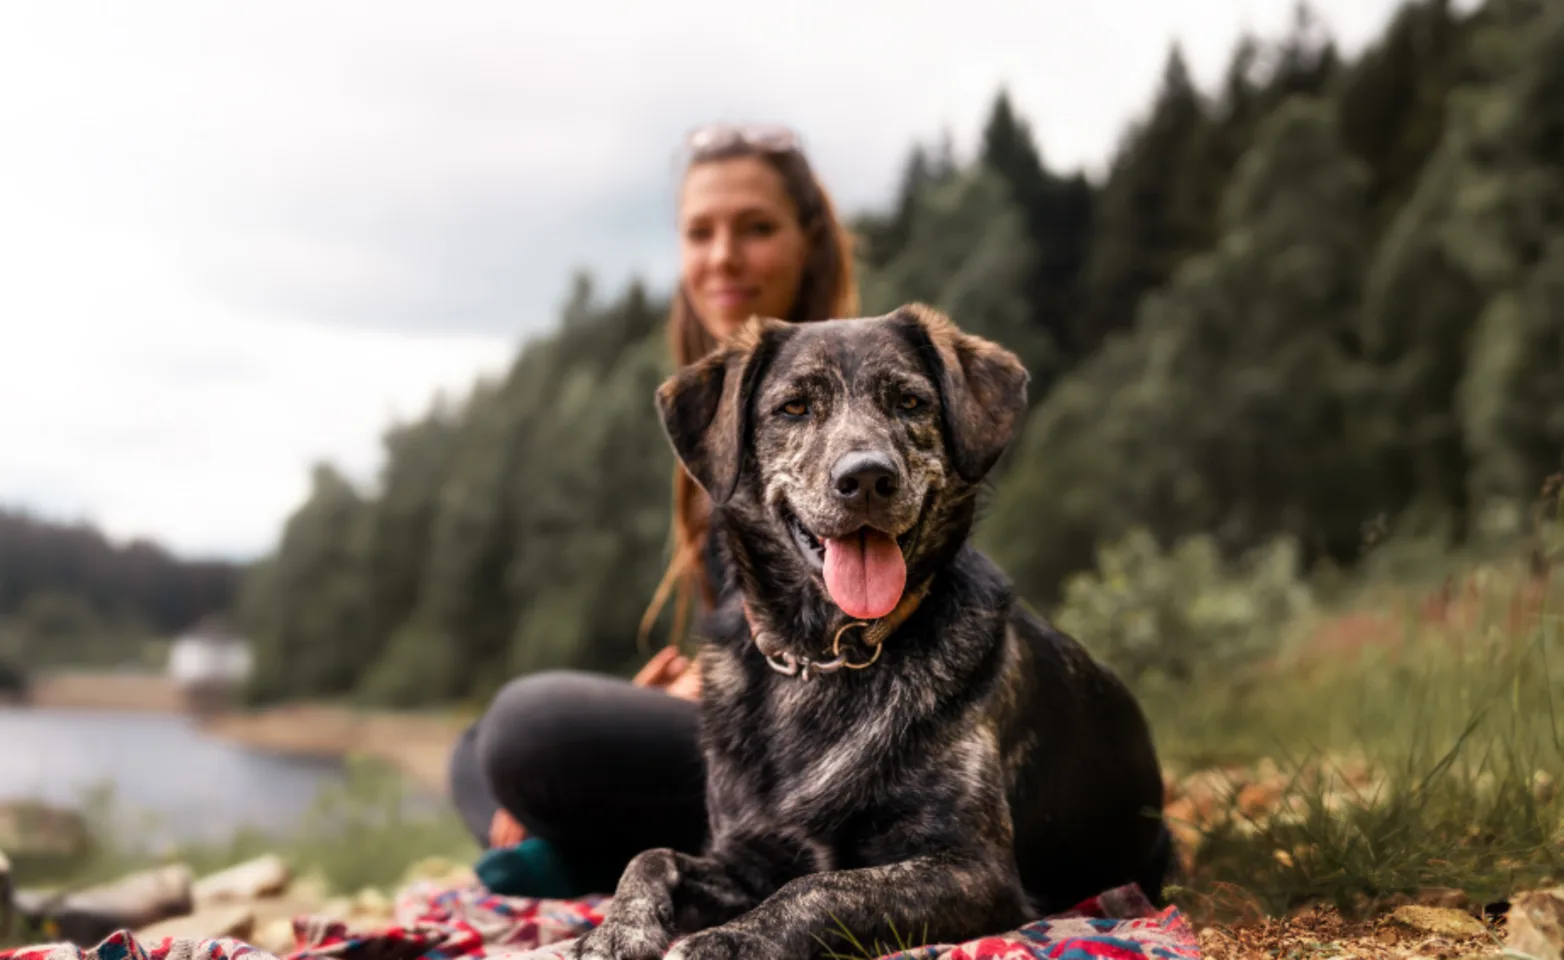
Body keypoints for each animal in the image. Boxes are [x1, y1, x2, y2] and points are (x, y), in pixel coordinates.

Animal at [569, 303, 1169, 960]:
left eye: (909, 402)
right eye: (794, 407)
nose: (866, 479)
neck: (824, 655)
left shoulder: (974, 869)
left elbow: (822, 886)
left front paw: (729, 940)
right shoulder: (746, 856)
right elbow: (649, 858)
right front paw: (617, 930)